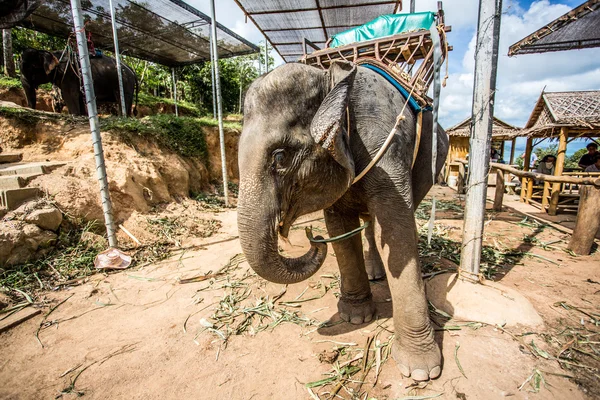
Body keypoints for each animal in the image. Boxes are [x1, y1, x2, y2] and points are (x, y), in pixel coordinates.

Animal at [237, 61, 448, 382]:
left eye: (280, 156)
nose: (312, 237)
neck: (331, 77)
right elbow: (340, 228)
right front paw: (355, 317)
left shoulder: (385, 144)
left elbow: (397, 228)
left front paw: (422, 372)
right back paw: (375, 273)